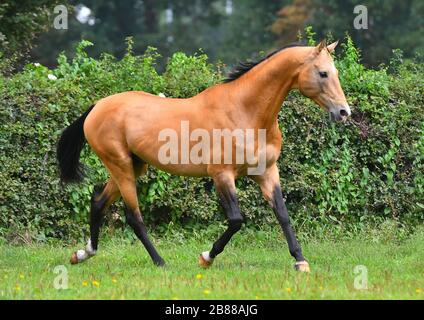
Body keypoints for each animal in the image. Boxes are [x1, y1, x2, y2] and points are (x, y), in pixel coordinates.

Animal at [57, 40, 352, 272]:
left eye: (336, 72)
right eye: (323, 73)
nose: (343, 112)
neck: (246, 112)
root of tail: (96, 107)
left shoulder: (267, 172)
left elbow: (282, 214)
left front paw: (300, 261)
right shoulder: (222, 175)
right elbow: (236, 220)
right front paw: (205, 258)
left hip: (132, 166)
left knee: (98, 202)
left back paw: (83, 254)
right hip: (120, 166)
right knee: (133, 216)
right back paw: (160, 262)